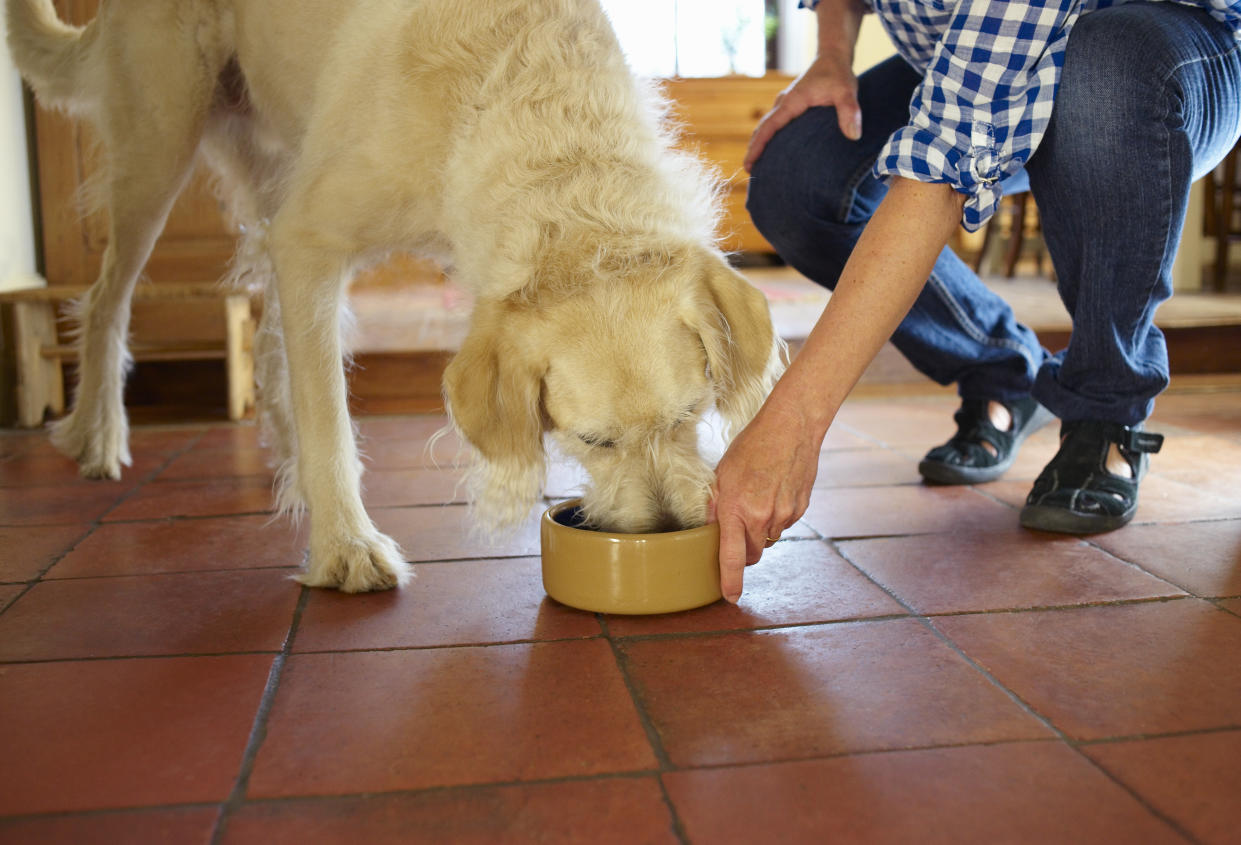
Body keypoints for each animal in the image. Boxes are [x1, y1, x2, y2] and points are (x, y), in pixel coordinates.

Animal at [7, 0, 784, 593]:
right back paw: (98, 432)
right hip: (159, 149)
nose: (669, 530)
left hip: (267, 172)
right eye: (592, 440)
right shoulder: (311, 238)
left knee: (268, 333)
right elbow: (330, 416)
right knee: (108, 298)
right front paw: (346, 547)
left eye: (691, 415)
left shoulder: (304, 238)